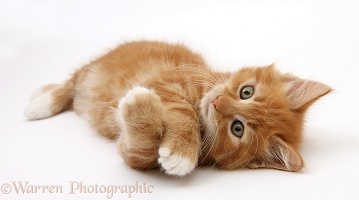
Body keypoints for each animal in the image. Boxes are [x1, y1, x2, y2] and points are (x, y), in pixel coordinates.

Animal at [24, 40, 332, 177]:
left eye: (237, 128)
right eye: (247, 91)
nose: (217, 102)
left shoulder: (132, 151)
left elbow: (139, 152)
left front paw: (140, 107)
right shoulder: (169, 80)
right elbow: (182, 110)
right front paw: (183, 147)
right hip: (91, 69)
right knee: (69, 84)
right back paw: (40, 102)